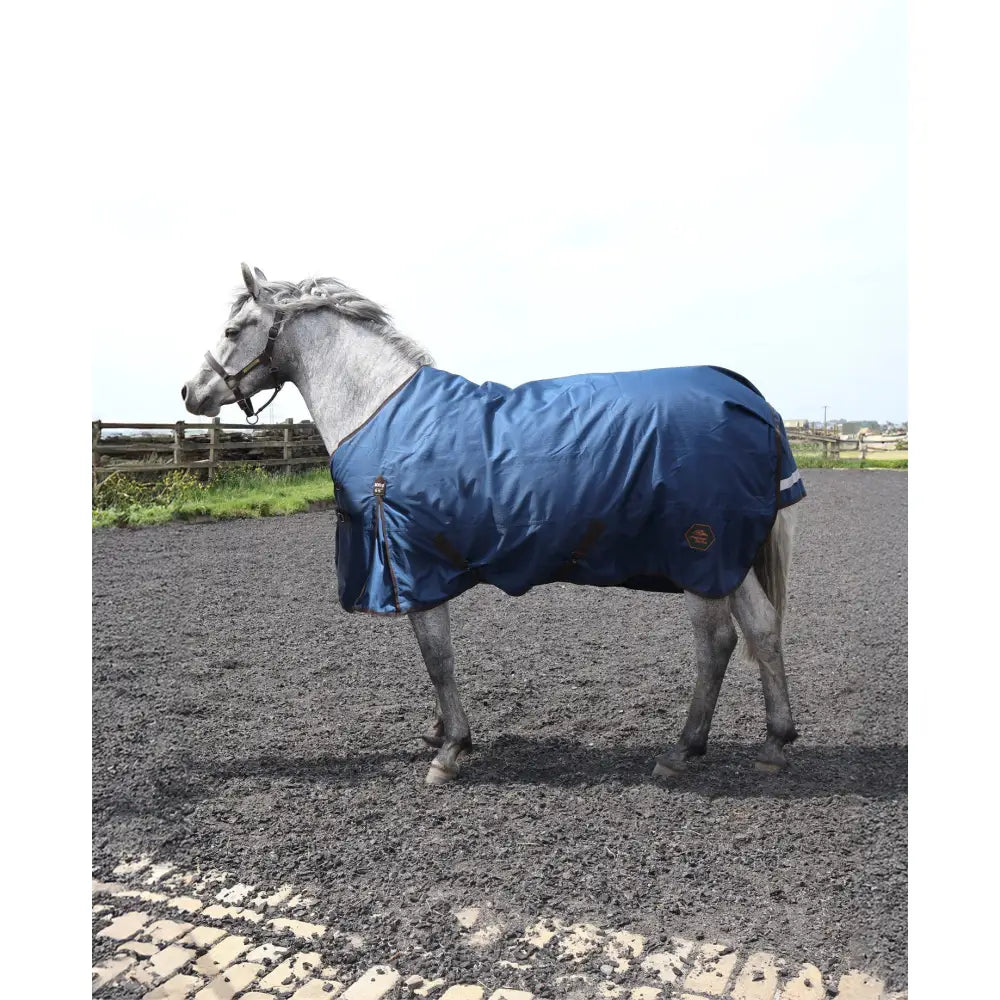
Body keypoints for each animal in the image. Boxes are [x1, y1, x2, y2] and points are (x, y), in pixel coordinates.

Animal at [182, 264, 804, 785]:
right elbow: (434, 657)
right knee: (763, 629)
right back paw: (775, 743)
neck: (382, 411)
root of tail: (751, 399)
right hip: (730, 560)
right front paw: (440, 732)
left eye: (234, 328)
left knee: (718, 642)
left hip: (701, 554)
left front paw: (451, 749)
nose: (191, 392)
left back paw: (683, 750)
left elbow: (437, 656)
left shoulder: (414, 563)